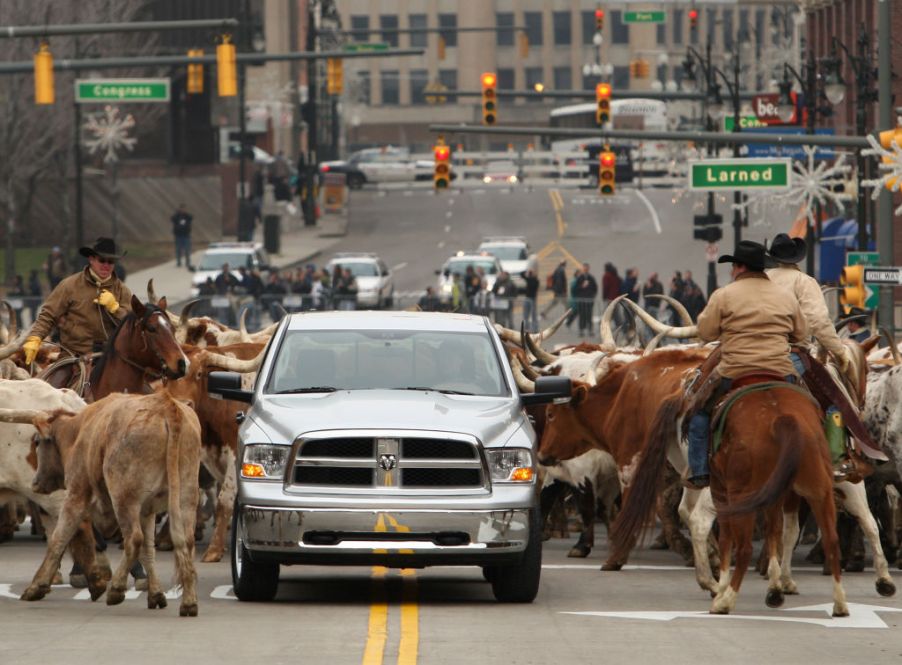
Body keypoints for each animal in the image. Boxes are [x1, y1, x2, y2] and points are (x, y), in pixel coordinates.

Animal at [3, 392, 203, 616]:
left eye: (37, 442)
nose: (35, 483)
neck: (78, 433)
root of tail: (166, 404)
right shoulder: (147, 510)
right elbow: (149, 551)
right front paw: (156, 594)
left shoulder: (76, 495)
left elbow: (59, 538)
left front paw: (37, 586)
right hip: (185, 497)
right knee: (184, 541)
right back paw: (189, 602)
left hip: (124, 498)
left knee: (133, 539)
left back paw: (116, 588)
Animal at [612, 386, 852, 616]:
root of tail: (783, 419)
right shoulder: (777, 497)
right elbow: (777, 533)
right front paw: (776, 586)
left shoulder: (725, 494)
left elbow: (736, 539)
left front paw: (730, 586)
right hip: (818, 492)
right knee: (831, 540)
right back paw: (840, 603)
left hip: (742, 495)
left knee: (737, 543)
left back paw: (722, 597)